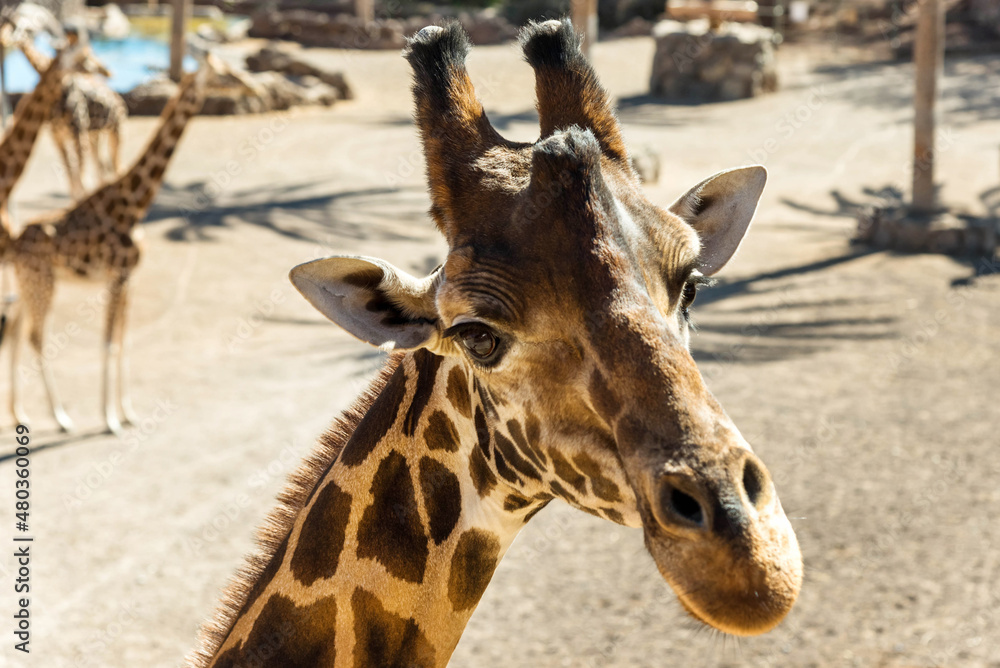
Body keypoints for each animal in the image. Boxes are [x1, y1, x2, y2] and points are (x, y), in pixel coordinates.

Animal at [6, 54, 223, 435]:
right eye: (222, 71)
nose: (238, 85)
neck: (135, 202)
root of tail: (16, 244)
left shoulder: (128, 278)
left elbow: (123, 342)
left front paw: (128, 413)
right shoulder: (118, 275)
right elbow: (108, 343)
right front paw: (109, 419)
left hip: (30, 283)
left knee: (16, 330)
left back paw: (21, 415)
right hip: (42, 284)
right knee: (34, 337)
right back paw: (61, 418)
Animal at [17, 29, 128, 200]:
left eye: (86, 55)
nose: (106, 70)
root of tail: (117, 97)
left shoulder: (78, 132)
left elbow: (80, 173)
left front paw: (81, 197)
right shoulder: (57, 136)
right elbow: (70, 169)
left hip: (115, 131)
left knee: (117, 167)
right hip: (95, 136)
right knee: (101, 167)